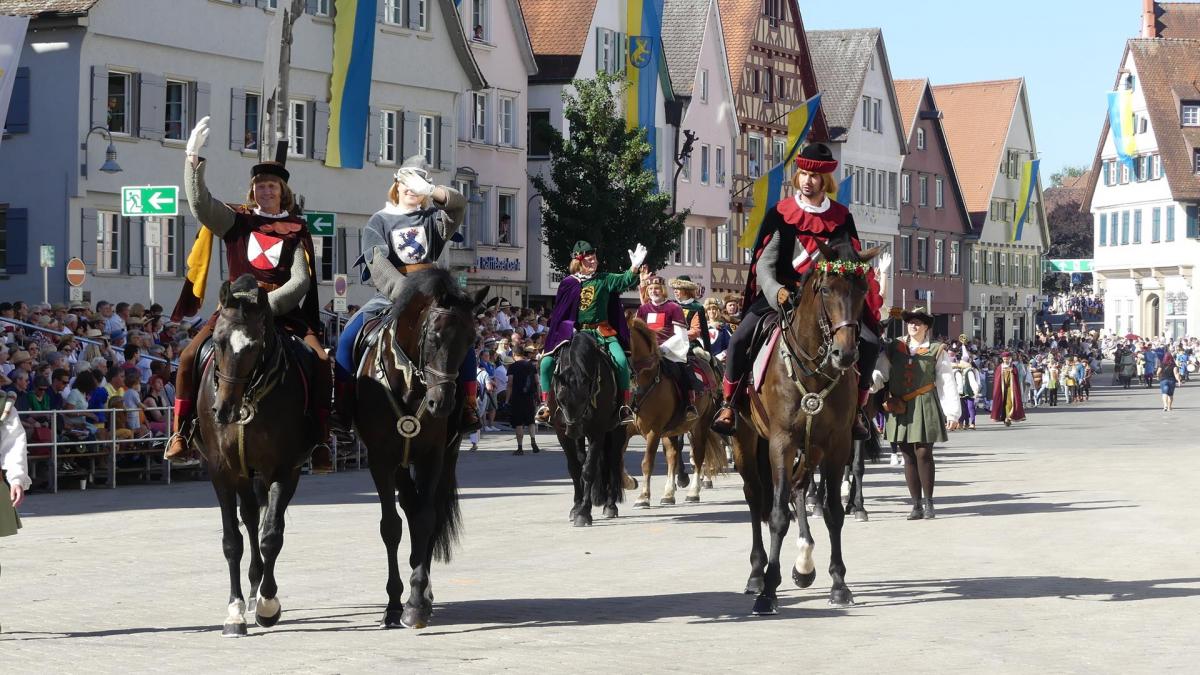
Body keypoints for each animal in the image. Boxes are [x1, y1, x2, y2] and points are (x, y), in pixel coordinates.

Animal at [196, 274, 322, 637]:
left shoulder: (284, 470)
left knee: (260, 520)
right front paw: (235, 611)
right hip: (244, 472)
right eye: (219, 341)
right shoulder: (222, 471)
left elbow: (271, 536)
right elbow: (232, 540)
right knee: (250, 518)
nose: (224, 410)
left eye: (254, 346)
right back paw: (251, 589)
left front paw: (268, 604)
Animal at [352, 268, 486, 629]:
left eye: (471, 340)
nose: (443, 403)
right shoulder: (381, 461)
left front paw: (415, 602)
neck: (410, 381)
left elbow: (426, 520)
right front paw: (393, 604)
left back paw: (424, 591)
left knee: (425, 513)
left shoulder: (432, 456)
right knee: (409, 510)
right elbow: (391, 526)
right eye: (435, 335)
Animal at [548, 331, 627, 527]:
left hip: (617, 429)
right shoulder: (561, 432)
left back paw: (610, 505)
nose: (573, 430)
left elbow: (588, 469)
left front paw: (584, 512)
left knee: (613, 460)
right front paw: (577, 507)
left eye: (585, 398)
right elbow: (575, 468)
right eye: (560, 398)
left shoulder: (597, 431)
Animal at [627, 318, 724, 506]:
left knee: (698, 454)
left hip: (700, 425)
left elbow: (647, 462)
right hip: (672, 429)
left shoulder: (654, 429)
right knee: (673, 456)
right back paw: (668, 493)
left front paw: (643, 497)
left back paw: (693, 491)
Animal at [730, 240, 879, 615]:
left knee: (798, 489)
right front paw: (768, 589)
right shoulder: (781, 442)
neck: (813, 367)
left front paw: (839, 584)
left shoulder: (837, 444)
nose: (845, 353)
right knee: (756, 497)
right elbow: (777, 515)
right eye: (826, 289)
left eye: (864, 289)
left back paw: (804, 563)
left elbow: (834, 512)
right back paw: (757, 574)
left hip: (811, 448)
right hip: (747, 441)